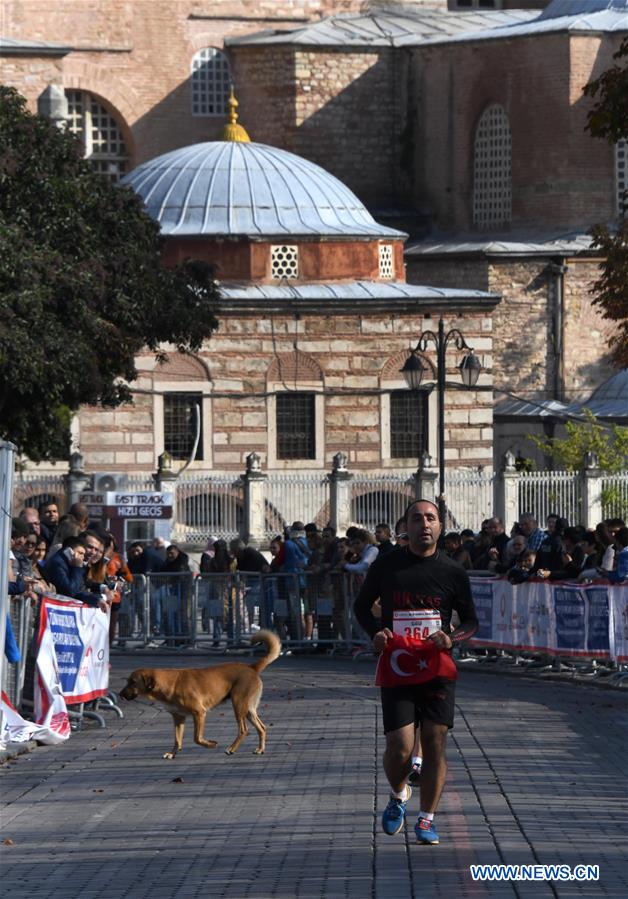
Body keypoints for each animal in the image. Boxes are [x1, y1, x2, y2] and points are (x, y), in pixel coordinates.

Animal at [119, 632, 280, 760]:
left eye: (133, 682)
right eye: (128, 681)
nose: (120, 695)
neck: (169, 683)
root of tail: (251, 667)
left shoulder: (199, 713)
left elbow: (197, 738)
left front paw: (210, 744)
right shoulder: (178, 718)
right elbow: (177, 740)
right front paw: (172, 753)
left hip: (238, 705)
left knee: (244, 730)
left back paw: (231, 749)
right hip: (248, 709)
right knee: (262, 727)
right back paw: (260, 749)